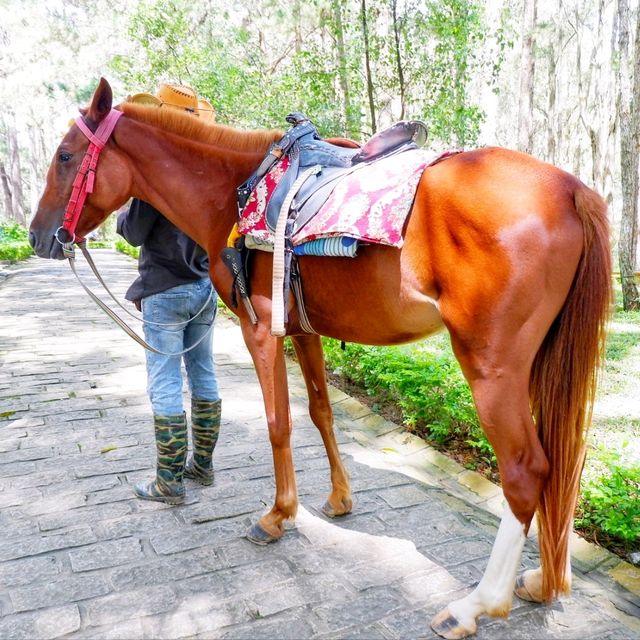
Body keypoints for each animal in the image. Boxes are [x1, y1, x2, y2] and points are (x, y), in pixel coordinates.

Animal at [28, 80, 608, 640]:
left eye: (64, 155)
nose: (36, 235)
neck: (232, 192)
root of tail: (569, 189)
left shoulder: (260, 329)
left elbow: (278, 422)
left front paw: (278, 515)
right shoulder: (303, 331)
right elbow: (320, 411)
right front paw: (339, 498)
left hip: (492, 366)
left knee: (526, 470)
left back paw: (477, 605)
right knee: (562, 465)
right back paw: (545, 582)